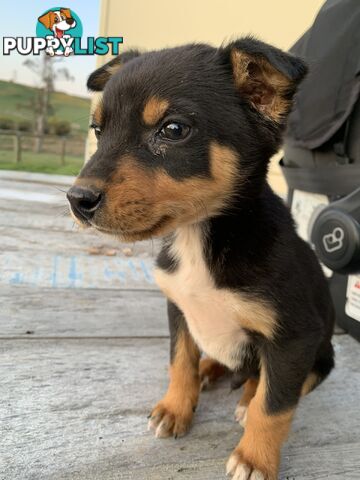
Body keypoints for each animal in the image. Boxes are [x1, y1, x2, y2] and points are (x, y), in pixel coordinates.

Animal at [67, 38, 334, 480]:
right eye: (98, 130)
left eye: (173, 130)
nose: (77, 200)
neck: (199, 237)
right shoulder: (178, 307)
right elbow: (180, 360)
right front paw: (175, 409)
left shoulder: (294, 336)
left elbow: (274, 406)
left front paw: (255, 458)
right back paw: (210, 369)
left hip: (321, 355)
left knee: (269, 383)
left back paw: (245, 397)